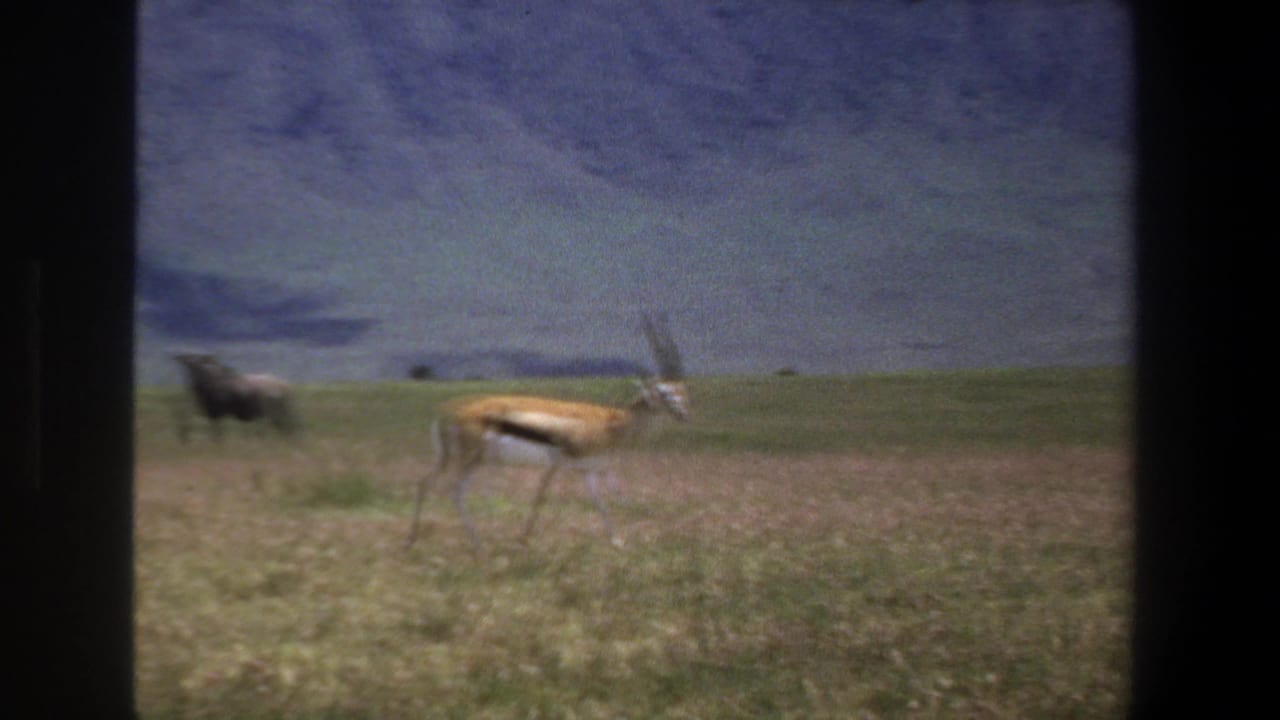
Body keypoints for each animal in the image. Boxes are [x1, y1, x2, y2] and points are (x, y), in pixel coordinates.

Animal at [405, 315, 689, 551]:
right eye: (663, 392)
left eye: (682, 390)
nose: (683, 415)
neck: (610, 422)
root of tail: (450, 411)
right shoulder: (558, 463)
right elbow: (541, 496)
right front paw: (522, 540)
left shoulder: (590, 470)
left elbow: (611, 500)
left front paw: (619, 541)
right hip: (468, 459)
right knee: (454, 492)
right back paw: (473, 546)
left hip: (457, 460)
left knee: (426, 484)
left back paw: (418, 541)